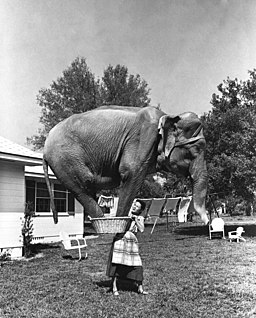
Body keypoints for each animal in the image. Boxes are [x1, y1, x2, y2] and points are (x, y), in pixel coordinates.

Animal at [43, 105, 209, 225]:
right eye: (194, 151)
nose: (208, 222)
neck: (167, 115)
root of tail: (45, 148)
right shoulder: (143, 140)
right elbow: (131, 174)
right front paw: (122, 225)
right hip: (64, 158)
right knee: (82, 188)